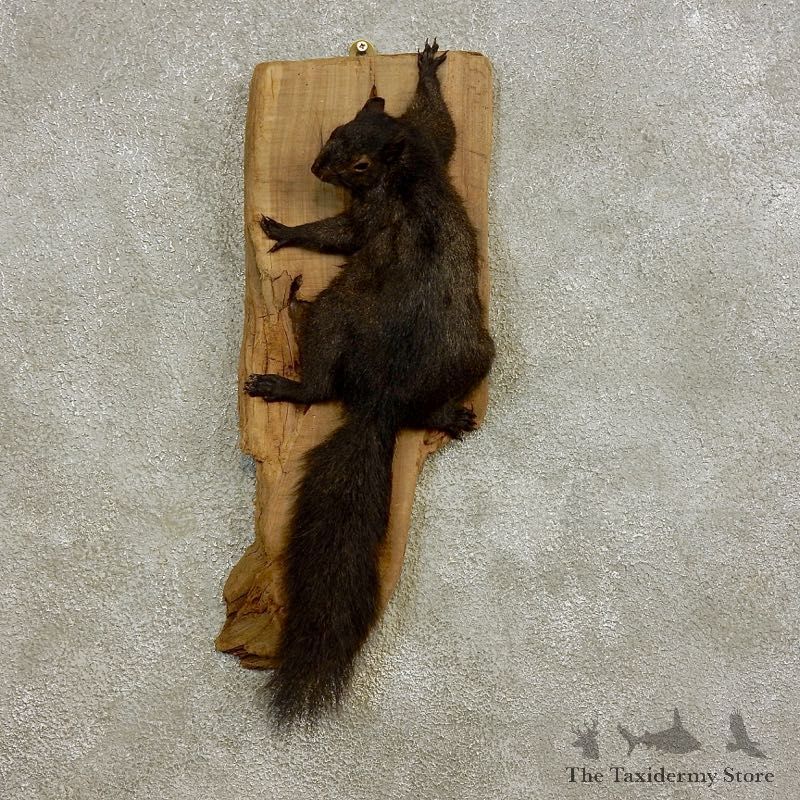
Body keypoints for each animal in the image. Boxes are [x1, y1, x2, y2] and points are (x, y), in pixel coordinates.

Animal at [244, 39, 495, 724]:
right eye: (334, 128)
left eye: (357, 162)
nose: (313, 165)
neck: (406, 171)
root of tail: (382, 401)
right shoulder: (432, 143)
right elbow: (443, 121)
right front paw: (429, 65)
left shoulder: (382, 202)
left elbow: (341, 234)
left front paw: (286, 230)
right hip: (478, 355)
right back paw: (448, 416)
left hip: (336, 315)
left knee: (320, 389)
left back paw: (285, 387)